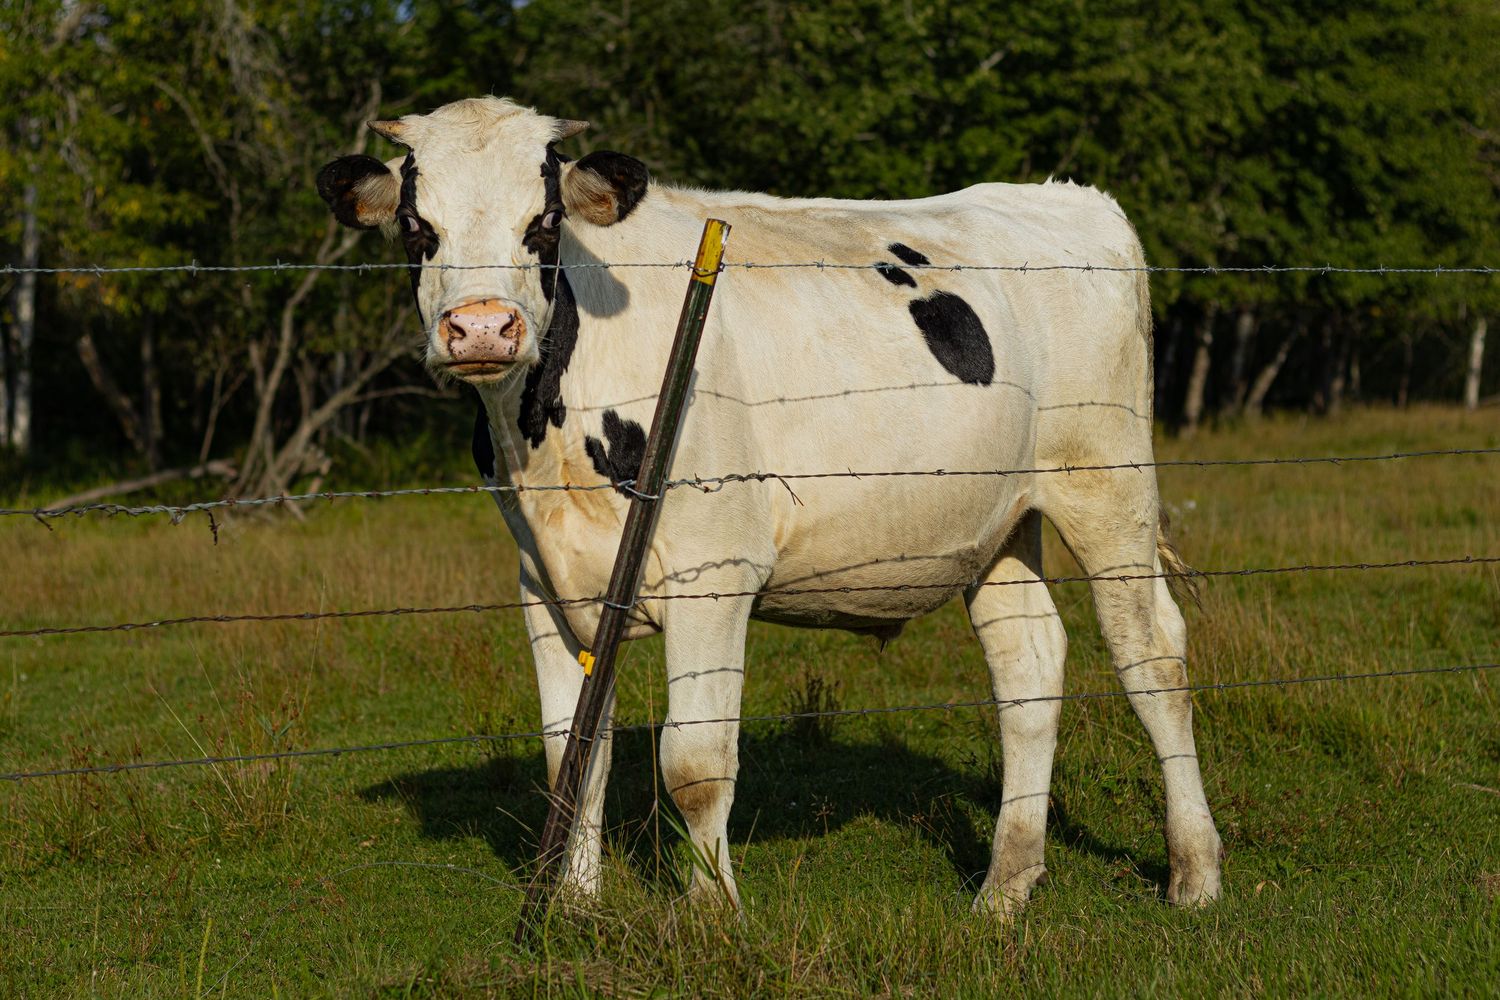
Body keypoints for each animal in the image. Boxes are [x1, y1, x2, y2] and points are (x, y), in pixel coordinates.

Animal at [317, 96, 1223, 914]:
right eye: (416, 228)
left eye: (542, 224)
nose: (481, 329)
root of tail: (1065, 195)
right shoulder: (544, 583)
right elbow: (573, 754)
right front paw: (572, 907)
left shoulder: (714, 575)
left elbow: (694, 762)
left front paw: (713, 915)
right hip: (998, 522)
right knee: (1028, 665)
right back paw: (1004, 887)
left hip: (1105, 484)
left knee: (1152, 658)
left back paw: (1194, 873)